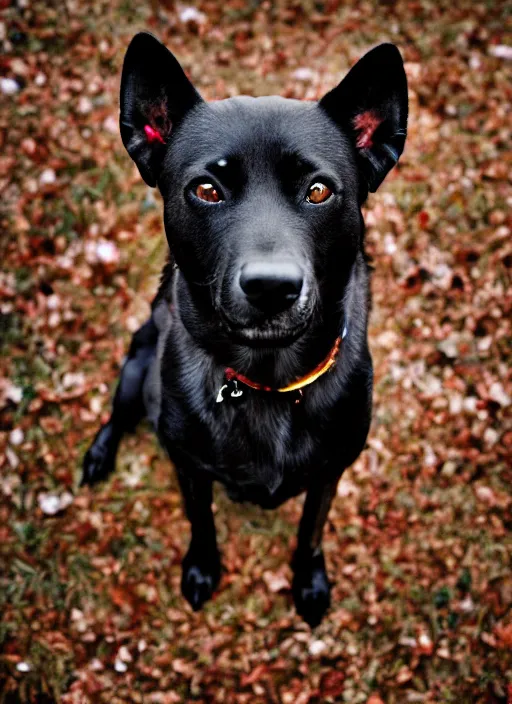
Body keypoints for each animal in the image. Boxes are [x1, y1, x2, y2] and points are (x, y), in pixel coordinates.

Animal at [81, 34, 408, 628]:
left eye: (319, 190)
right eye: (207, 190)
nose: (271, 287)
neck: (268, 379)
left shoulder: (331, 472)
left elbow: (311, 531)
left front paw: (309, 581)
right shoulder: (189, 467)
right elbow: (202, 522)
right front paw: (201, 568)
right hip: (136, 365)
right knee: (118, 415)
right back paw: (99, 454)